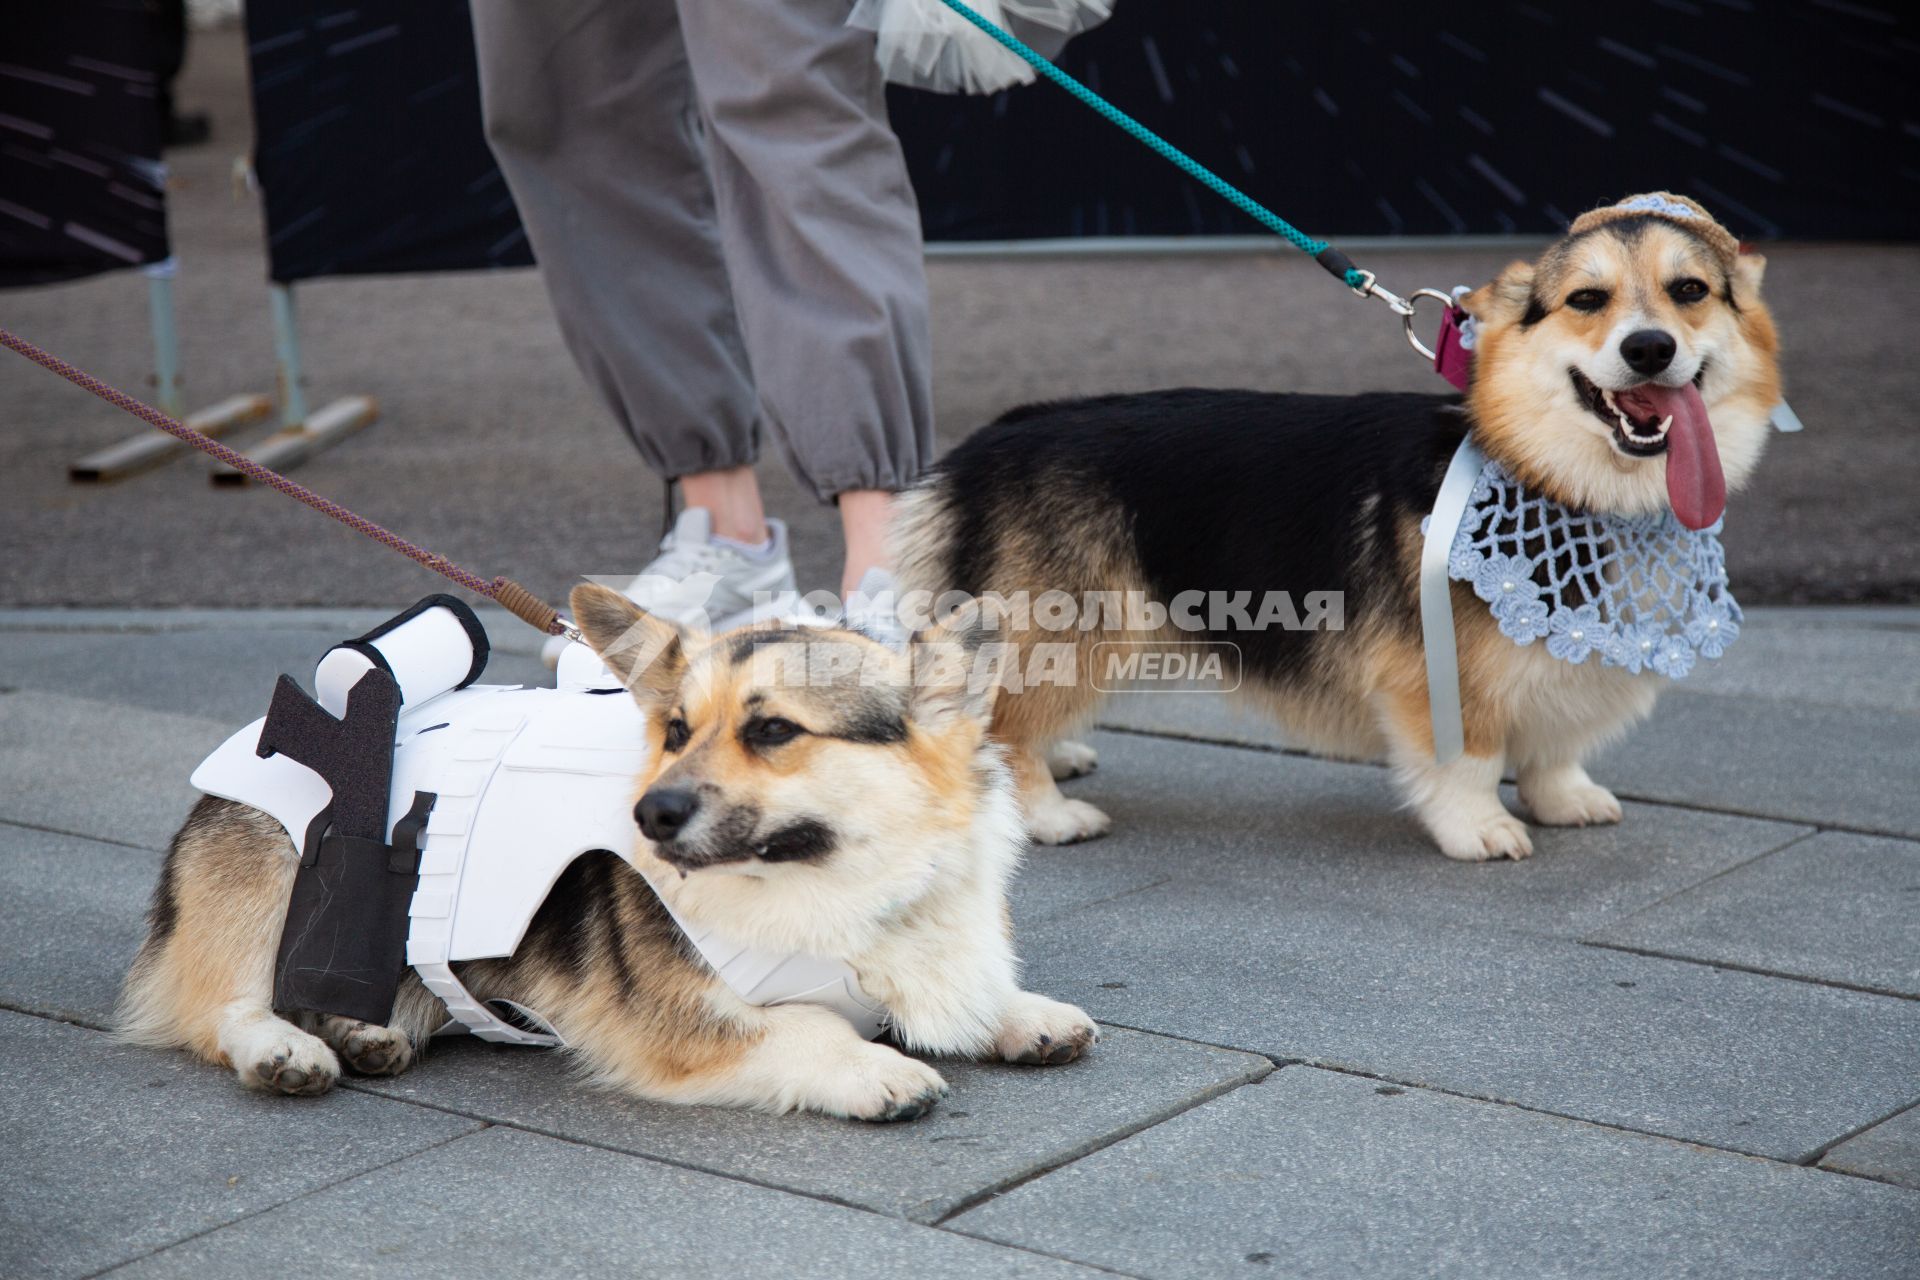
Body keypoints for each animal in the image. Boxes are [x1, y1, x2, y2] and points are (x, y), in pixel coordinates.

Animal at [123, 587, 1098, 1128]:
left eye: (773, 731)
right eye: (675, 731)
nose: (650, 812)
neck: (850, 880)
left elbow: (972, 993)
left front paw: (1023, 1015)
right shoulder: (683, 1018)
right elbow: (807, 1026)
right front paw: (878, 1068)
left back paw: (367, 1031)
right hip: (272, 878)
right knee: (226, 1004)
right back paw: (285, 1049)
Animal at [890, 192, 1774, 859]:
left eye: (1690, 290)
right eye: (1587, 300)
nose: (1650, 347)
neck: (1548, 474)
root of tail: (980, 446)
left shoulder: (1566, 664)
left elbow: (1554, 747)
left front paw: (1566, 799)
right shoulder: (1440, 674)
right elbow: (1470, 758)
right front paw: (1482, 829)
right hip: (1080, 628)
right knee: (1005, 726)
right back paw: (1048, 817)